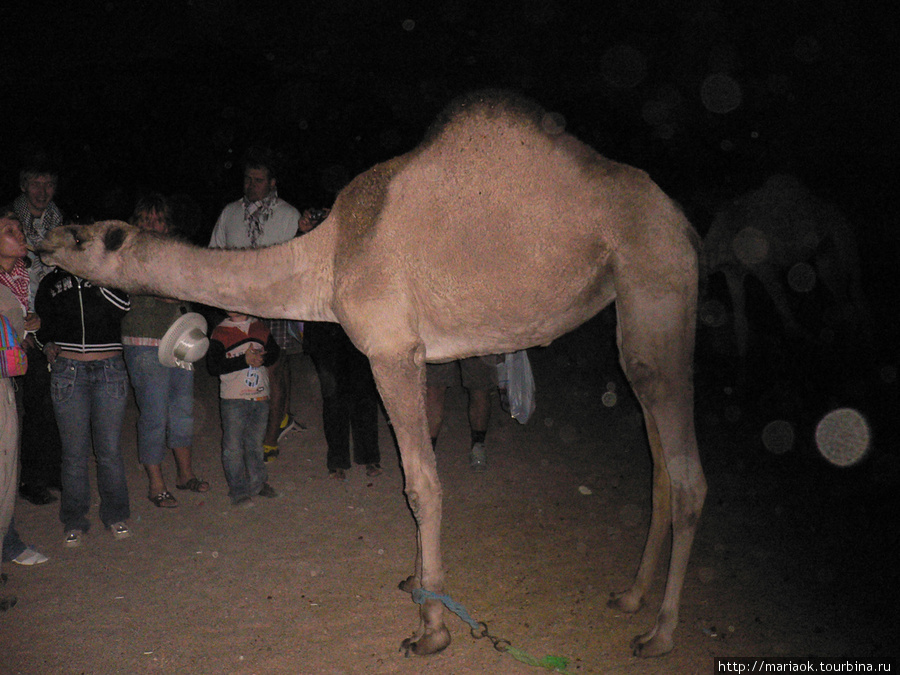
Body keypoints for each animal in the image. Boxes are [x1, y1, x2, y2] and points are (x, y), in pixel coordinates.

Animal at [38, 90, 708, 660]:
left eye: (83, 234)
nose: (43, 244)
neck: (329, 256)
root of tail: (679, 219)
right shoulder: (411, 354)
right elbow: (419, 476)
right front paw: (419, 583)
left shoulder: (390, 350)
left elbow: (421, 484)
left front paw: (431, 629)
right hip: (629, 303)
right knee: (656, 459)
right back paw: (630, 596)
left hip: (657, 277)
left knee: (684, 470)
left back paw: (661, 632)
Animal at [704, 177, 864, 362]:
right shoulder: (733, 274)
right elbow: (740, 324)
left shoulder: (765, 268)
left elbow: (786, 314)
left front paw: (810, 342)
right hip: (826, 257)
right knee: (845, 299)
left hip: (845, 243)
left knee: (856, 293)